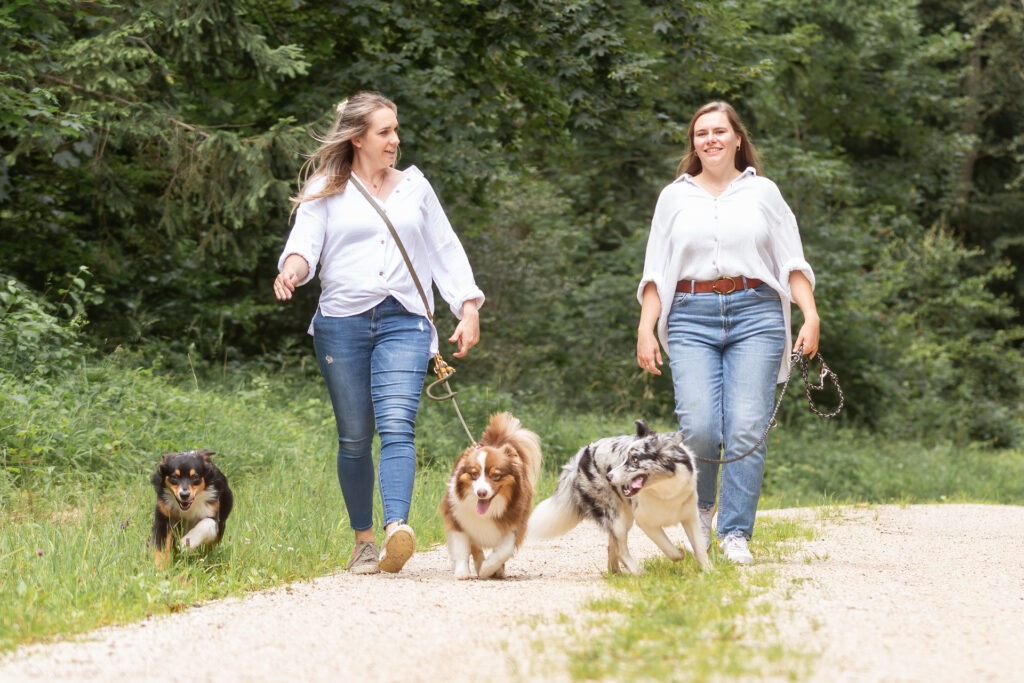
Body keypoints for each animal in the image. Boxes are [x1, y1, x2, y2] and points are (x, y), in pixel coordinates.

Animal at [440, 413, 544, 581]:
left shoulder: (514, 521)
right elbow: (462, 547)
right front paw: (463, 572)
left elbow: (503, 551)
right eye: (474, 474)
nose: (481, 493)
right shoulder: (457, 517)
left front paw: (486, 569)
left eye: (496, 475)